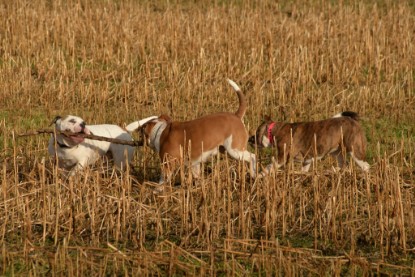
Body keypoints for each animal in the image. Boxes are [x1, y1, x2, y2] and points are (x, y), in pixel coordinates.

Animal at [127, 78, 256, 189]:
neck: (161, 131)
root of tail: (236, 116)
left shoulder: (168, 163)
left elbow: (163, 179)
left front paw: (157, 190)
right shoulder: (195, 164)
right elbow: (197, 176)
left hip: (235, 150)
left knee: (252, 157)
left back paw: (254, 174)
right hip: (225, 149)